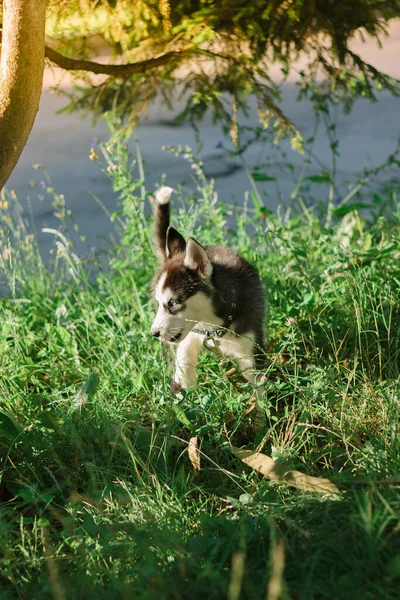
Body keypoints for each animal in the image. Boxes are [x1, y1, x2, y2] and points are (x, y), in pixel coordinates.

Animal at [151, 188, 266, 394]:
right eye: (160, 303)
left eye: (174, 303)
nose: (153, 333)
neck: (215, 326)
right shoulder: (189, 340)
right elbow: (184, 375)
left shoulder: (251, 350)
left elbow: (258, 390)